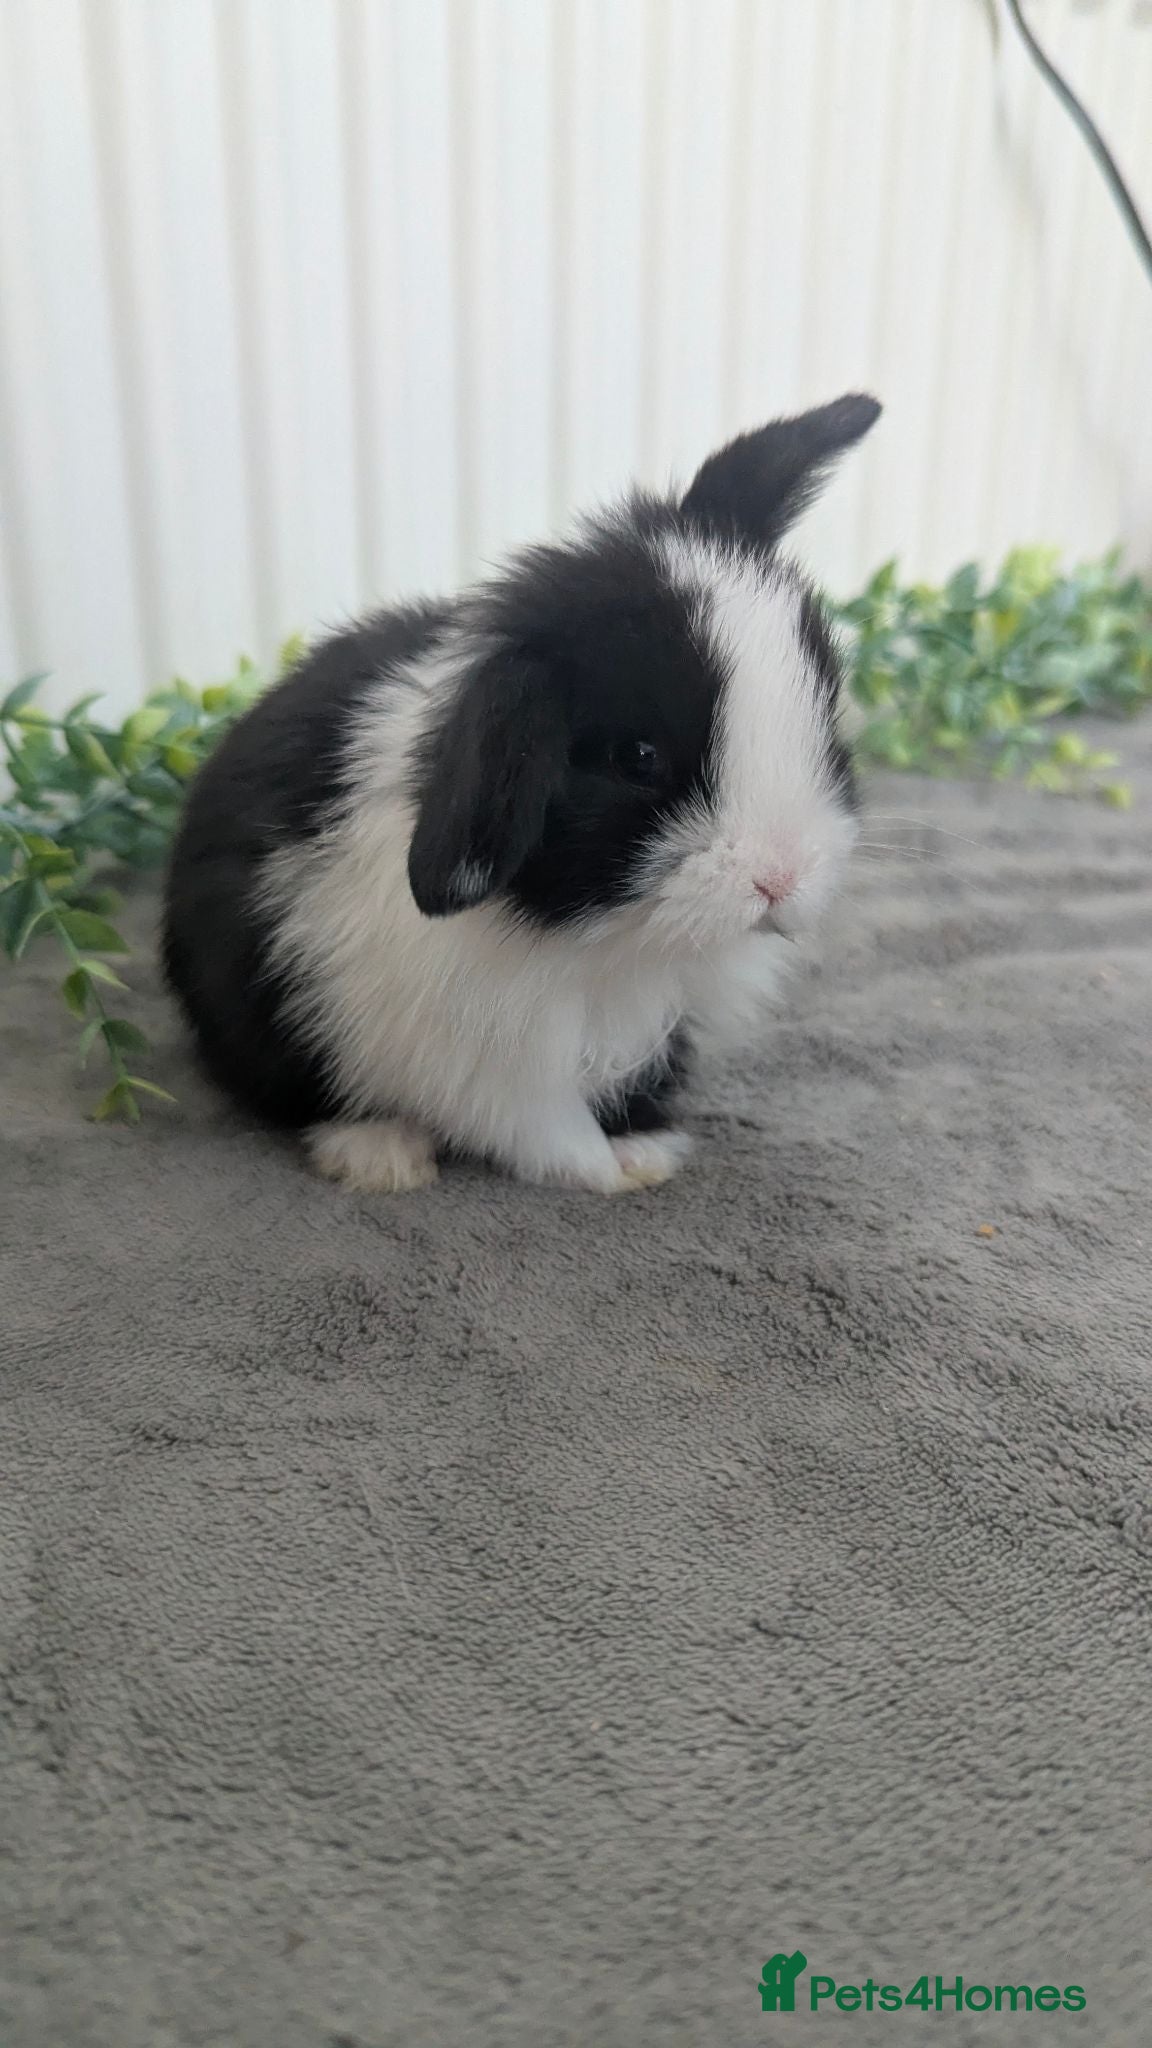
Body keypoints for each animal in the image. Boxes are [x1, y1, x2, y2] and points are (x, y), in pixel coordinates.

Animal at [162, 393, 880, 1195]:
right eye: (638, 758)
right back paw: (380, 1154)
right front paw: (604, 1172)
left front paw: (643, 1150)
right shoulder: (491, 1060)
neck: (610, 941)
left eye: (824, 711)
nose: (781, 878)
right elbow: (539, 1124)